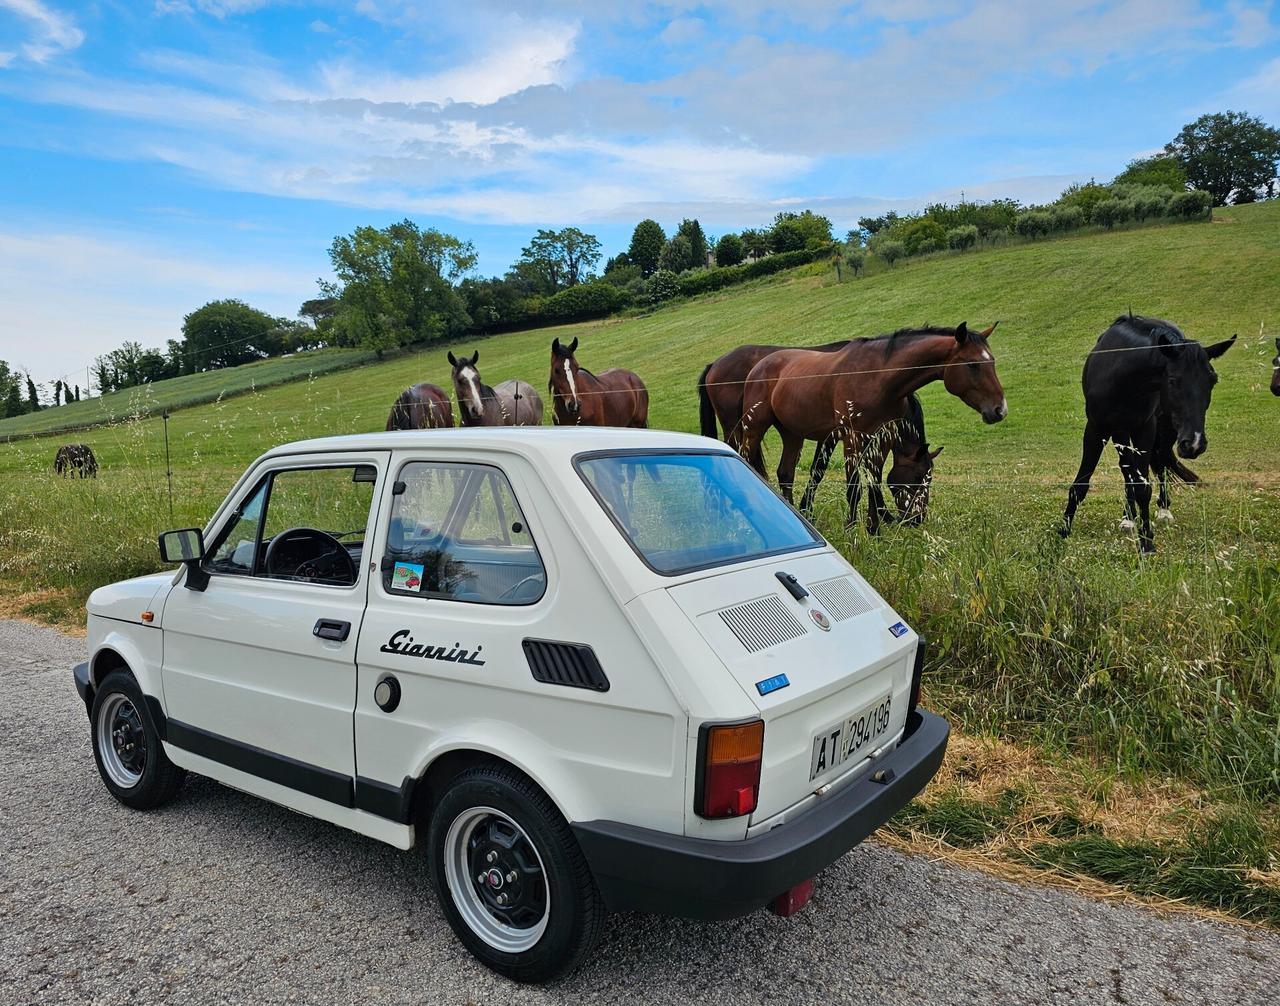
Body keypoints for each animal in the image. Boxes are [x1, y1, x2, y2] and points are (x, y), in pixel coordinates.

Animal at [701, 345, 942, 529]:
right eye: (919, 476)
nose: (917, 519)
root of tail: (714, 364)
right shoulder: (836, 436)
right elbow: (821, 471)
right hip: (739, 427)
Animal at [737, 323, 1003, 529]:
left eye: (992, 362)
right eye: (972, 364)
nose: (999, 409)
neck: (879, 377)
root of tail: (760, 365)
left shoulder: (882, 438)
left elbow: (874, 482)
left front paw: (875, 529)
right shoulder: (851, 438)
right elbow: (854, 486)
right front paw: (852, 530)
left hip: (792, 433)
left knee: (786, 473)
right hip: (755, 427)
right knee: (746, 459)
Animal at [1054, 311, 1233, 552]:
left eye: (1213, 381)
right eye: (1173, 380)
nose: (1195, 443)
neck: (1124, 376)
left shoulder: (1146, 429)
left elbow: (1143, 486)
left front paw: (1146, 541)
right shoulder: (1097, 429)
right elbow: (1083, 483)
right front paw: (1063, 531)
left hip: (1165, 429)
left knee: (1160, 464)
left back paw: (1162, 510)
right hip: (1121, 432)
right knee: (1129, 468)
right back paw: (1128, 517)